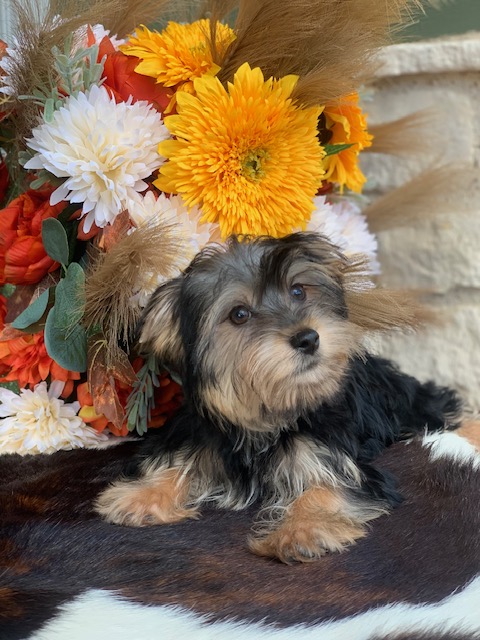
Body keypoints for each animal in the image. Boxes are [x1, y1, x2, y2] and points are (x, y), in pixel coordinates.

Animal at [96, 232, 468, 564]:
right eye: (239, 314)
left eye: (298, 291)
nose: (308, 338)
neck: (268, 416)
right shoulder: (203, 437)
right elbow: (180, 463)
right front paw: (140, 495)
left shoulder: (334, 457)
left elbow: (327, 487)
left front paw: (301, 532)